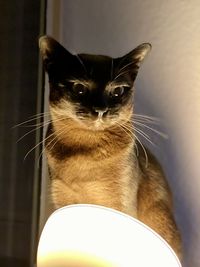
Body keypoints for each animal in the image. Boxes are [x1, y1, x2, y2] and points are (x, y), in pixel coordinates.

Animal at [38, 35, 182, 260]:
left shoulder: (119, 205)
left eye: (117, 91)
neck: (85, 154)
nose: (101, 110)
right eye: (79, 88)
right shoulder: (63, 203)